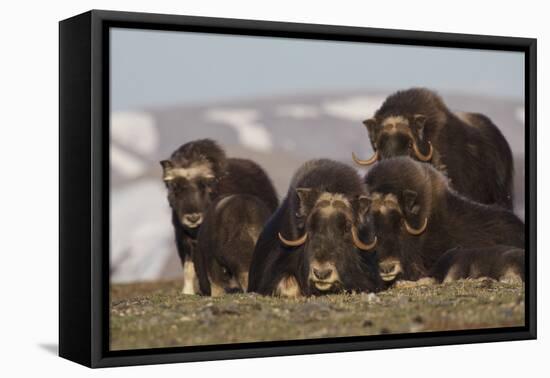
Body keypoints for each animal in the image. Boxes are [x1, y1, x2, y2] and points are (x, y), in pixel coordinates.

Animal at [162, 140, 278, 296]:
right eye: (175, 187)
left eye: (203, 185)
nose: (193, 218)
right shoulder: (183, 239)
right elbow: (188, 267)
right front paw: (187, 292)